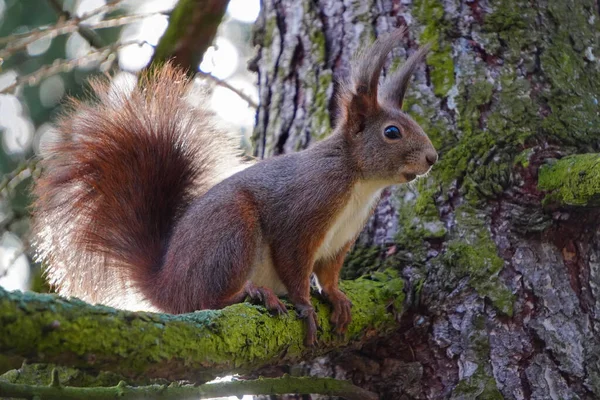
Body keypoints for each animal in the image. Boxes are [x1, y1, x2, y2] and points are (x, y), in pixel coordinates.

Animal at [30, 28, 436, 346]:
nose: (432, 158)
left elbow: (329, 272)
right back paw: (252, 293)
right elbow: (294, 263)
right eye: (392, 132)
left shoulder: (341, 239)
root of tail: (165, 287)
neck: (358, 181)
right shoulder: (305, 209)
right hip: (231, 230)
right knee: (206, 301)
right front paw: (305, 306)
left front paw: (336, 297)